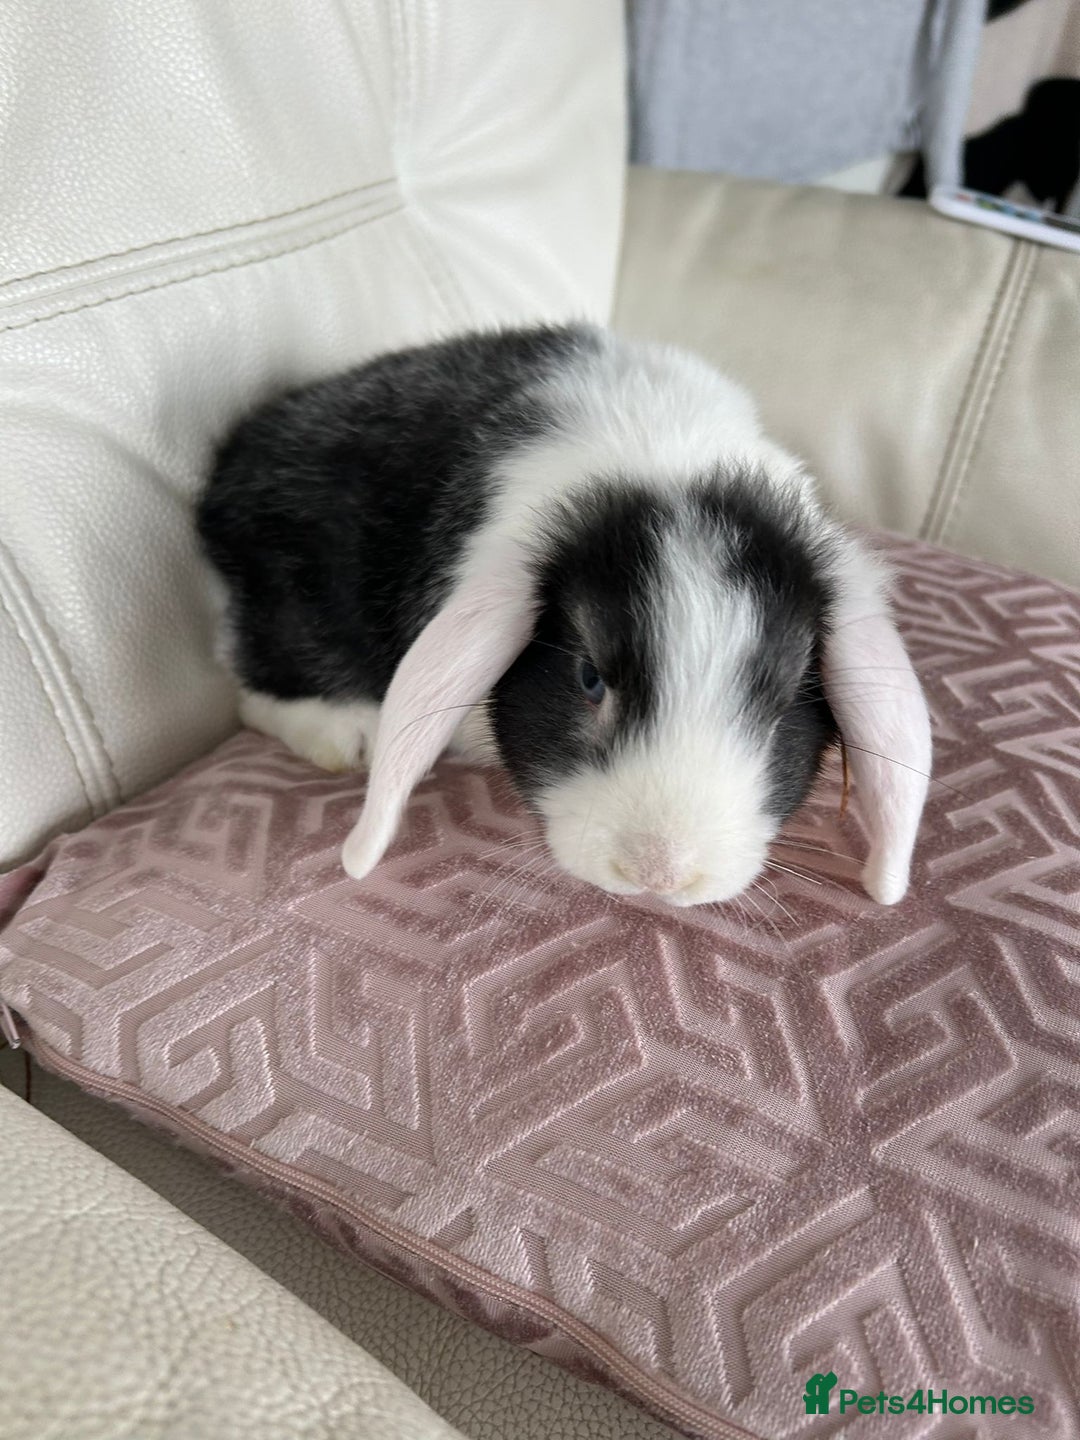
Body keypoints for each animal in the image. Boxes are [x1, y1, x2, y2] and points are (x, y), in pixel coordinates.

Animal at [196, 322, 931, 907]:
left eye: (785, 700)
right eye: (588, 677)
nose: (658, 874)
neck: (662, 460)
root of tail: (228, 466)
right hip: (298, 600)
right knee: (250, 681)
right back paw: (347, 736)